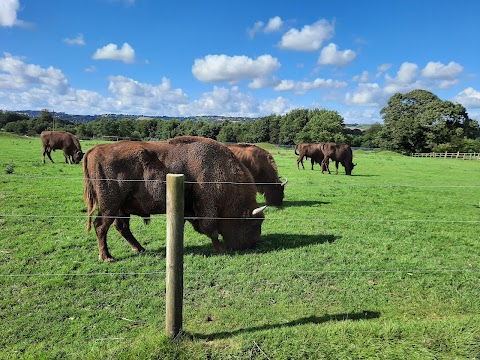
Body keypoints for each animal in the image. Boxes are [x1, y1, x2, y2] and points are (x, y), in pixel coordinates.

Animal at [84, 135, 268, 262]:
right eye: (255, 223)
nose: (253, 244)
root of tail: (95, 149)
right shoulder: (207, 207)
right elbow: (212, 230)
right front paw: (220, 249)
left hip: (121, 208)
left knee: (121, 227)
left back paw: (139, 249)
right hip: (110, 205)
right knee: (100, 225)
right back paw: (107, 257)